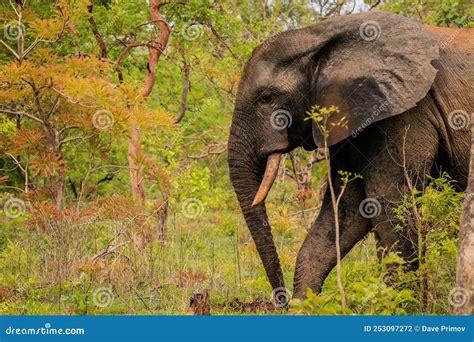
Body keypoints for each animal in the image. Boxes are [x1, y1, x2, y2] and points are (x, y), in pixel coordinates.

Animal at [228, 11, 472, 304]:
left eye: (267, 98)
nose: (281, 300)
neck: (318, 36)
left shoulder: (405, 113)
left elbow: (387, 202)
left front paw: (399, 304)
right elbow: (349, 208)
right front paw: (305, 305)